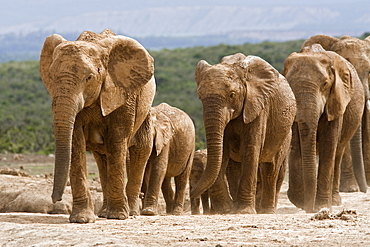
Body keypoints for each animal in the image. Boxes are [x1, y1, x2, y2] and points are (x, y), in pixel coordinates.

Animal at [39, 28, 155, 222]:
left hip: (145, 111)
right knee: (102, 158)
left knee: (140, 151)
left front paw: (118, 216)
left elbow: (117, 140)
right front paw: (81, 219)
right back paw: (104, 213)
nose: (56, 199)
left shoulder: (123, 93)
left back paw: (131, 213)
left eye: (89, 77)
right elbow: (75, 142)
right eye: (52, 76)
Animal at [191, 52, 298, 214]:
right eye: (199, 96)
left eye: (232, 95)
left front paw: (243, 211)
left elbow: (249, 149)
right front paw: (227, 210)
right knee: (235, 167)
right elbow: (224, 152)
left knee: (270, 169)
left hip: (285, 135)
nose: (191, 192)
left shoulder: (258, 106)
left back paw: (265, 211)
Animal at [284, 44, 364, 212]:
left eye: (325, 84)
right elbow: (296, 146)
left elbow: (328, 145)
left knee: (337, 153)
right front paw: (301, 201)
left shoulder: (337, 99)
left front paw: (320, 206)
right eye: (289, 85)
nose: (309, 209)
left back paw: (334, 201)